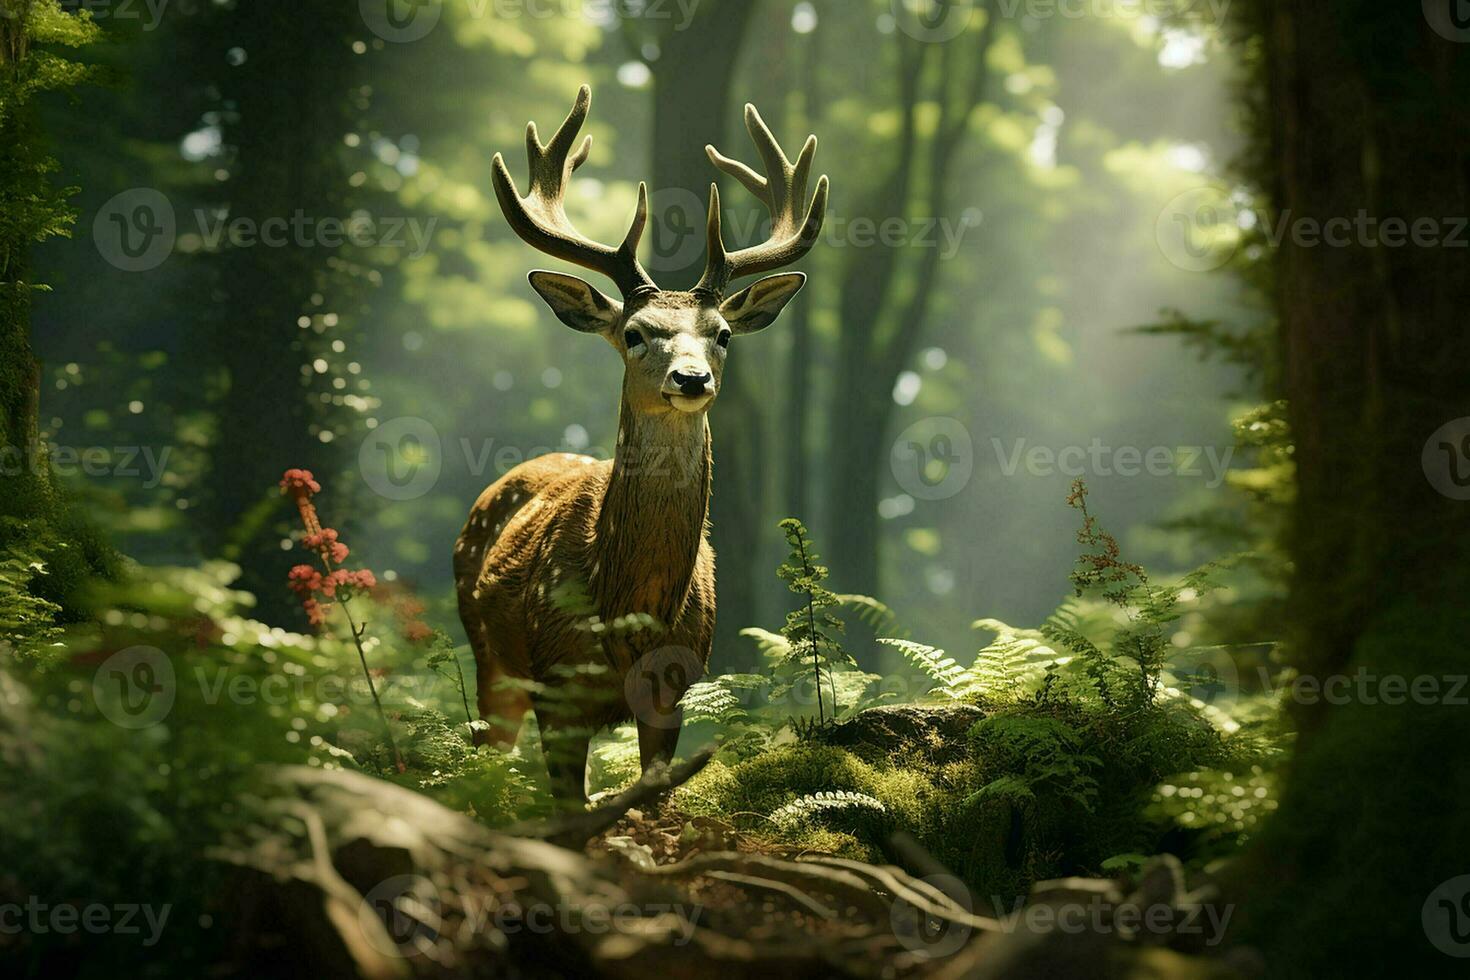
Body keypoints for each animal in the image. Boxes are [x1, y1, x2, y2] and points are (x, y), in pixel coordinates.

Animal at [452, 86, 829, 805]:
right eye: (634, 333)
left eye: (722, 335)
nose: (691, 378)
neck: (630, 603)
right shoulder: (558, 684)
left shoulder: (677, 683)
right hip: (487, 654)